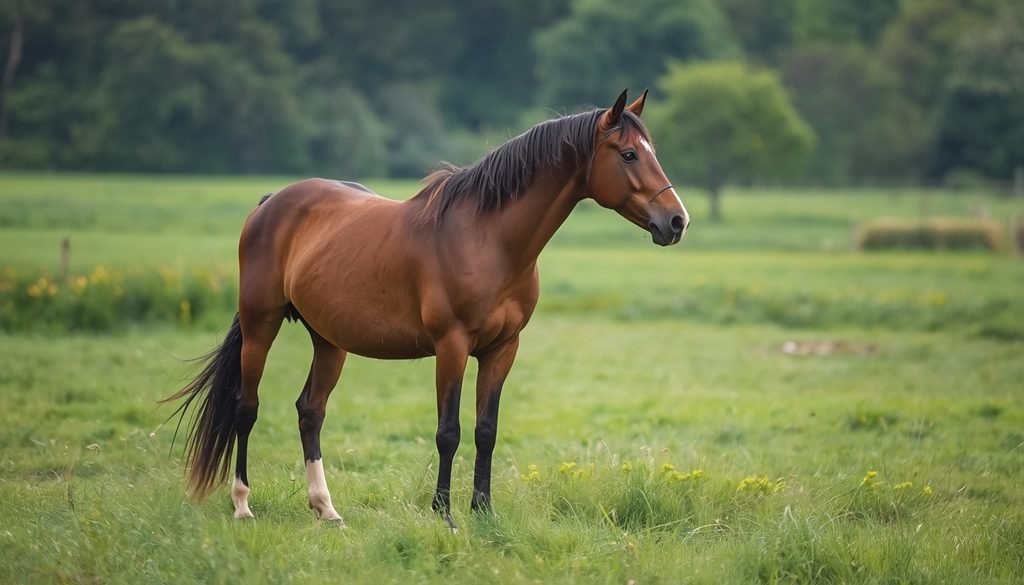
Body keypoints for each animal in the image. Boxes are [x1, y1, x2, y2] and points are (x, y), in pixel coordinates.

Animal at [162, 89, 690, 530]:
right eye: (628, 154)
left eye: (653, 152)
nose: (676, 221)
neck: (488, 239)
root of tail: (272, 202)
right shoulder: (451, 346)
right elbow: (448, 432)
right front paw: (445, 515)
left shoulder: (503, 350)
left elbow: (485, 431)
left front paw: (484, 512)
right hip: (261, 326)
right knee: (245, 407)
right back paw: (243, 504)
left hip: (329, 341)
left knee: (310, 412)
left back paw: (326, 510)